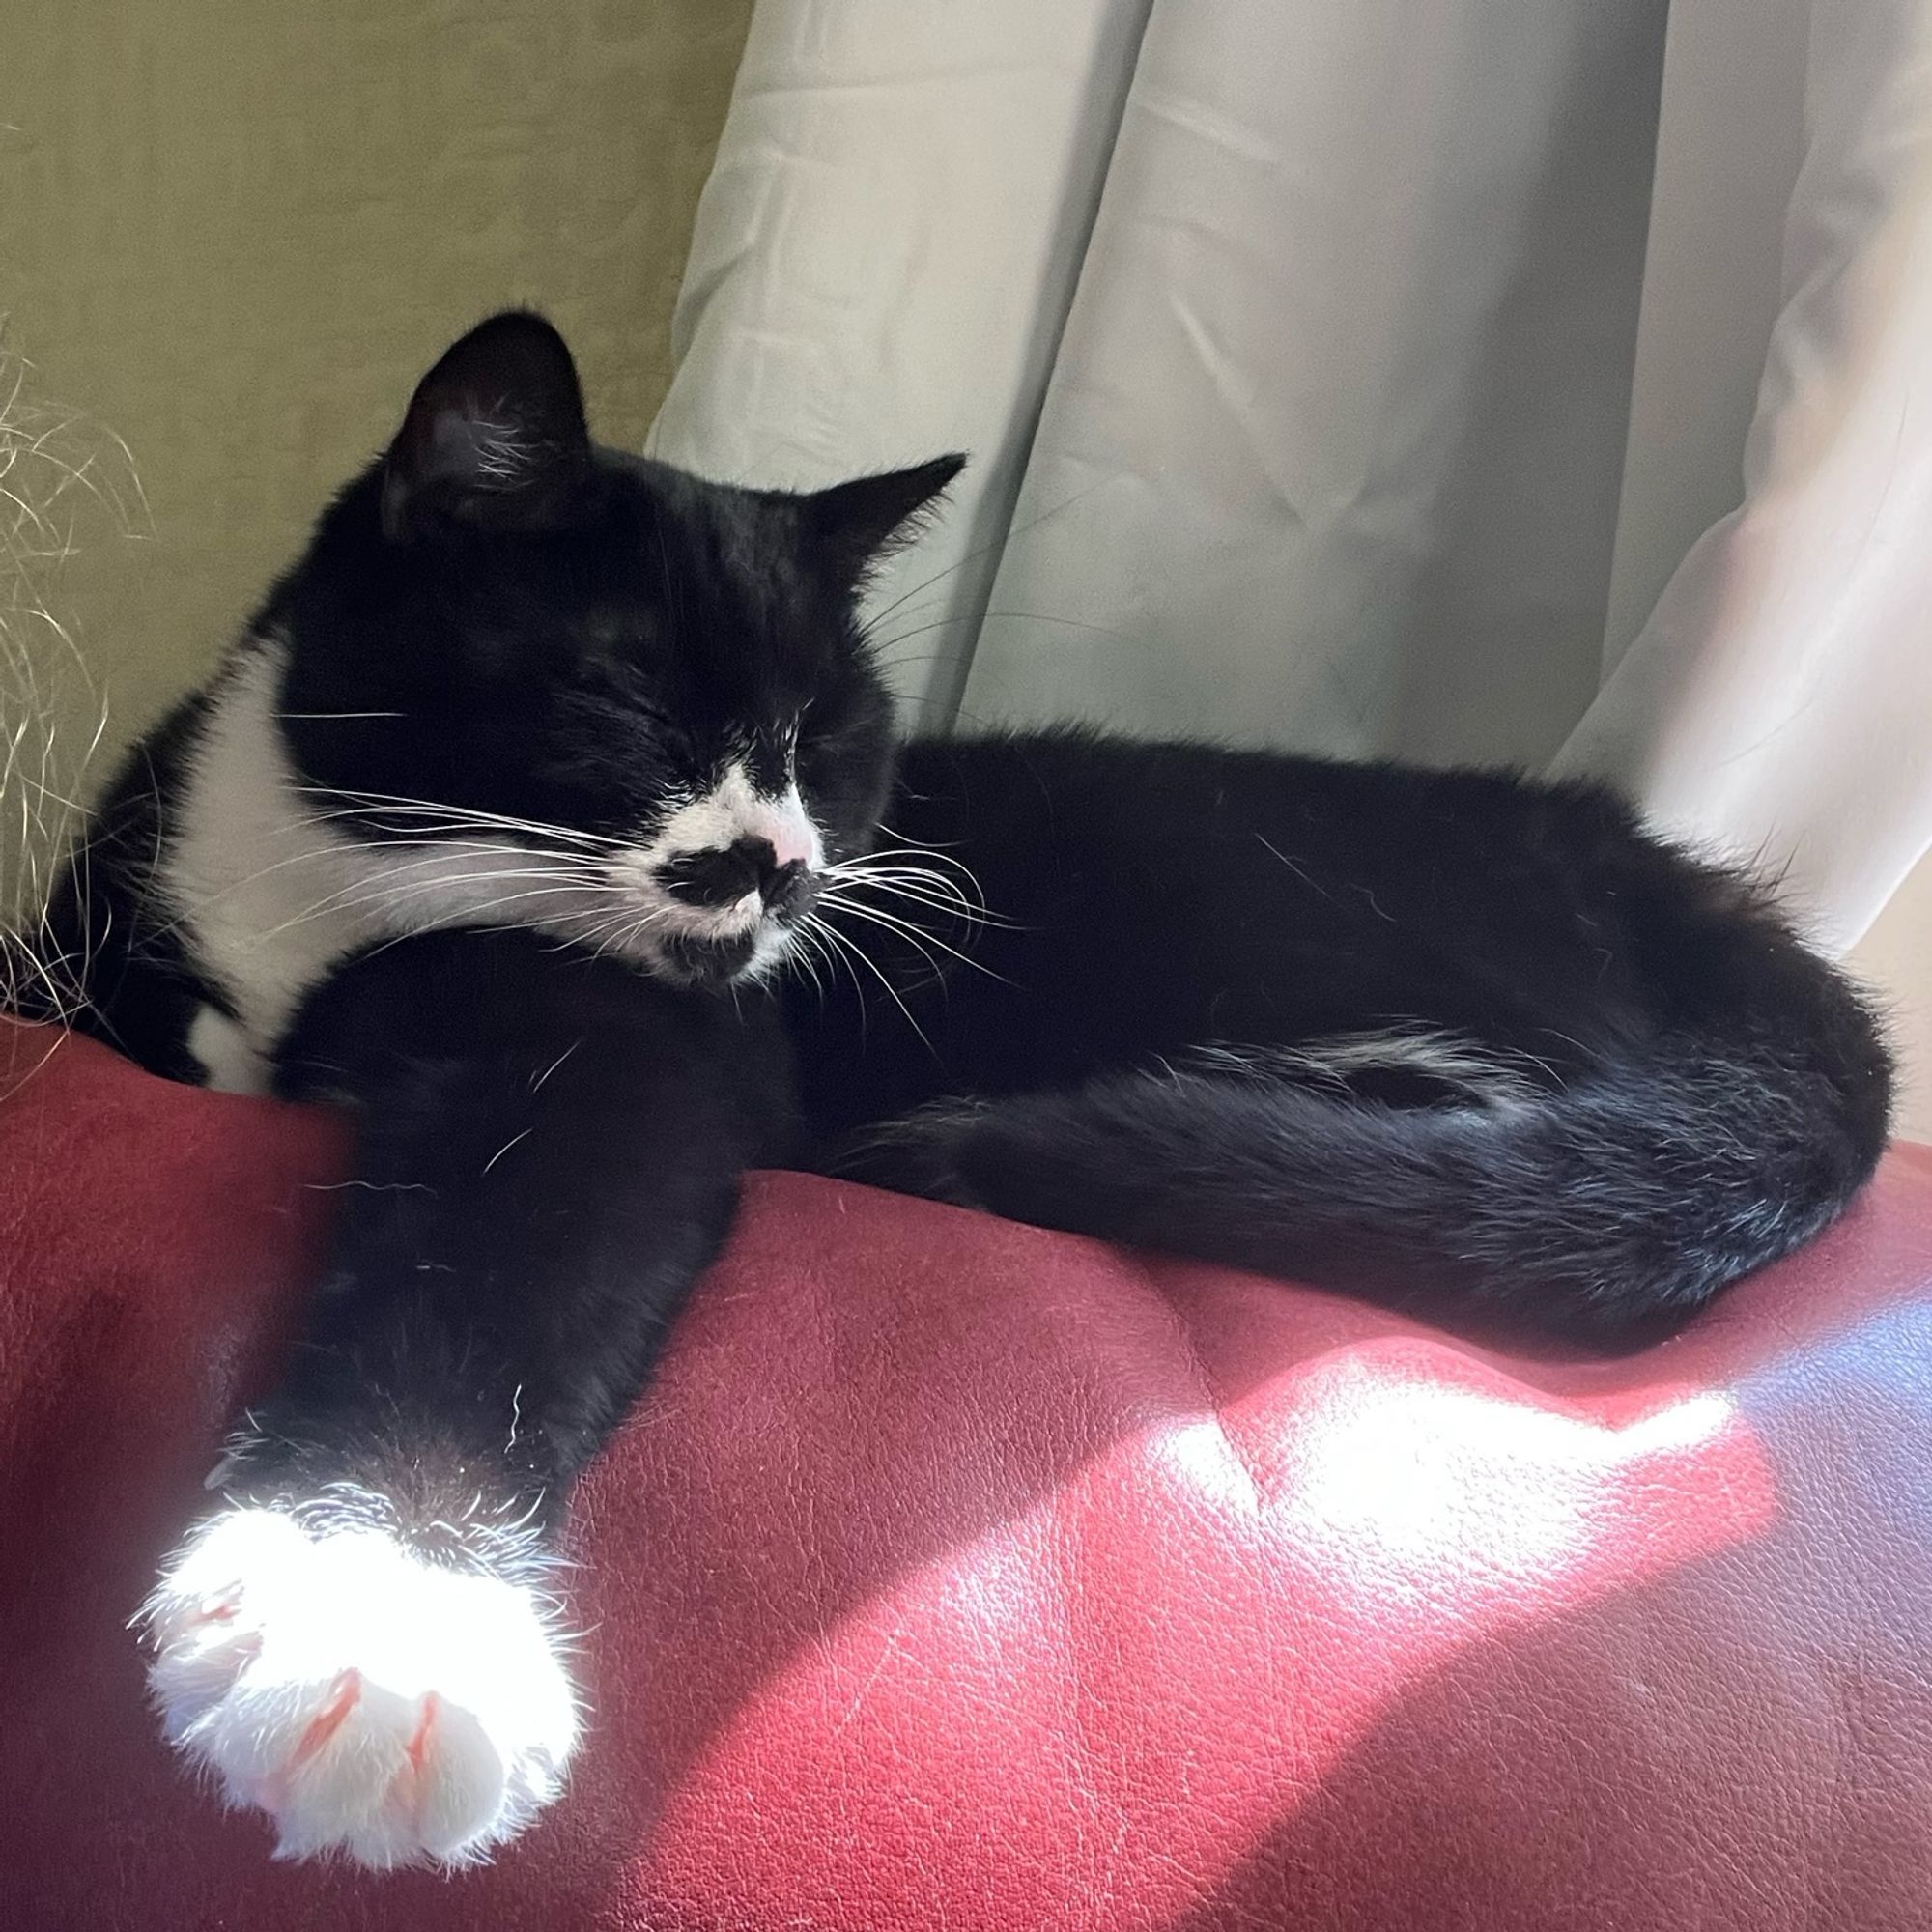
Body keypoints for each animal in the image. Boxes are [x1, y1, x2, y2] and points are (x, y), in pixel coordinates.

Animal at [30, 313, 1893, 1870]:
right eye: (628, 702)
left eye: (830, 743)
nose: (776, 864)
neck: (335, 898)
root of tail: (1695, 891)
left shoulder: (655, 1054)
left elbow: (521, 1247)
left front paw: (376, 1626)